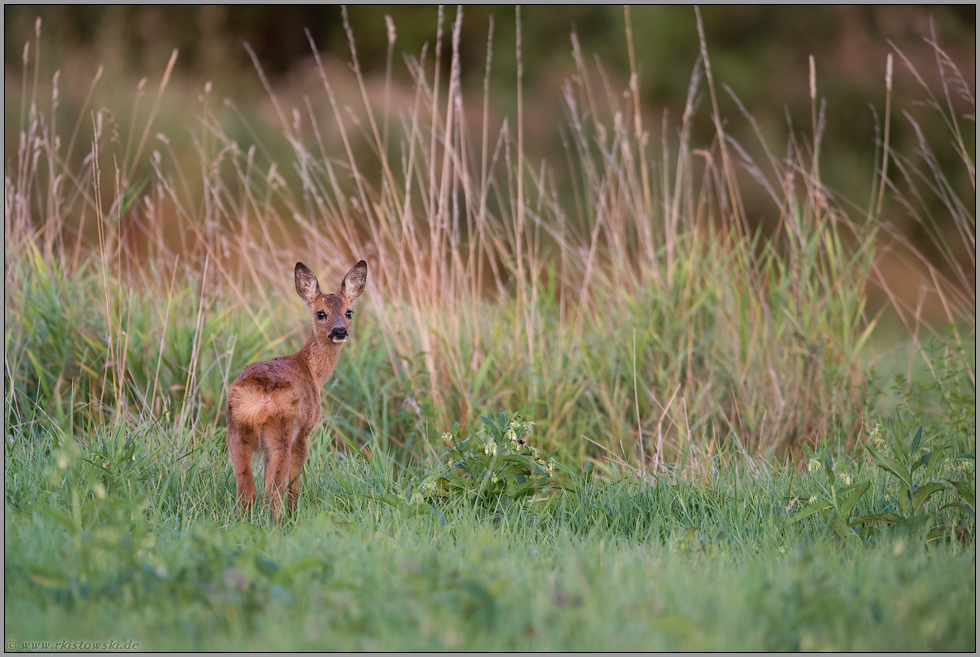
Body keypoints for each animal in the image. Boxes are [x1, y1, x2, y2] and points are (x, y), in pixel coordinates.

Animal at [226, 260, 368, 516]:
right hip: (281, 428)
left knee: (247, 491)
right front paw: (294, 512)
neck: (311, 371)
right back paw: (281, 519)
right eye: (321, 313)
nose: (340, 331)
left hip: (236, 431)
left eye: (348, 312)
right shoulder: (305, 430)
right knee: (275, 491)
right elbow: (293, 483)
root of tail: (260, 396)